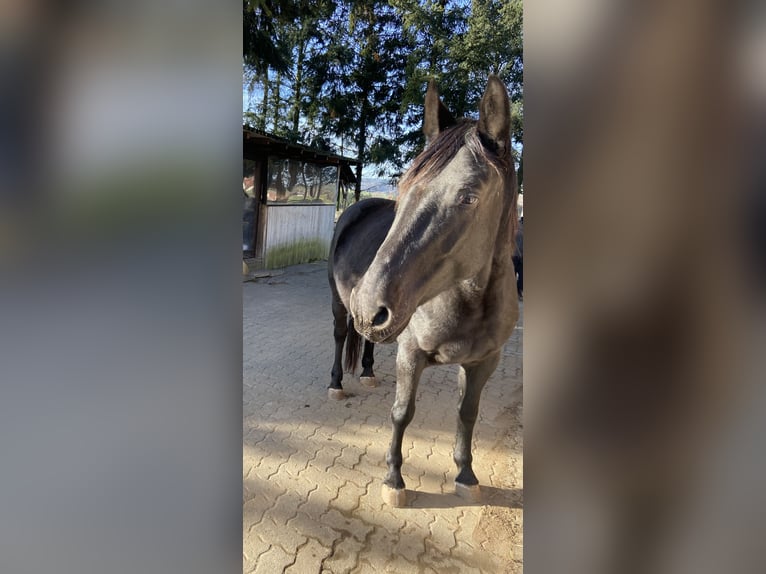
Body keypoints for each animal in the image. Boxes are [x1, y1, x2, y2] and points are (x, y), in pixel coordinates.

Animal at [328, 75, 519, 506]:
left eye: (468, 196)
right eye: (405, 184)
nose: (367, 304)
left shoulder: (484, 361)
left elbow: (467, 412)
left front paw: (465, 474)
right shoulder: (411, 354)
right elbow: (402, 413)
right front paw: (393, 479)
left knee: (367, 341)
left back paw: (367, 372)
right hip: (340, 305)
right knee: (340, 336)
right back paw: (336, 384)